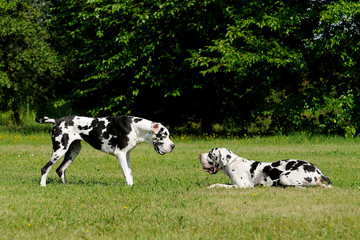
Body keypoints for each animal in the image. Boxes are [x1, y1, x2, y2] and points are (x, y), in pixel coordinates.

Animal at [35, 115, 175, 187]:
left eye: (168, 135)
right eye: (164, 135)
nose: (173, 146)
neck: (135, 127)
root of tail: (56, 120)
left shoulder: (126, 156)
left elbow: (129, 173)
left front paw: (131, 185)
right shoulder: (120, 154)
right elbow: (127, 174)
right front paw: (129, 186)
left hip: (73, 152)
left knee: (61, 170)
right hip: (59, 150)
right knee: (45, 168)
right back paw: (43, 185)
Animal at [200, 147, 332, 188]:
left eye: (211, 154)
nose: (200, 155)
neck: (232, 162)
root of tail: (318, 172)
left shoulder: (242, 186)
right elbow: (218, 184)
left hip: (284, 177)